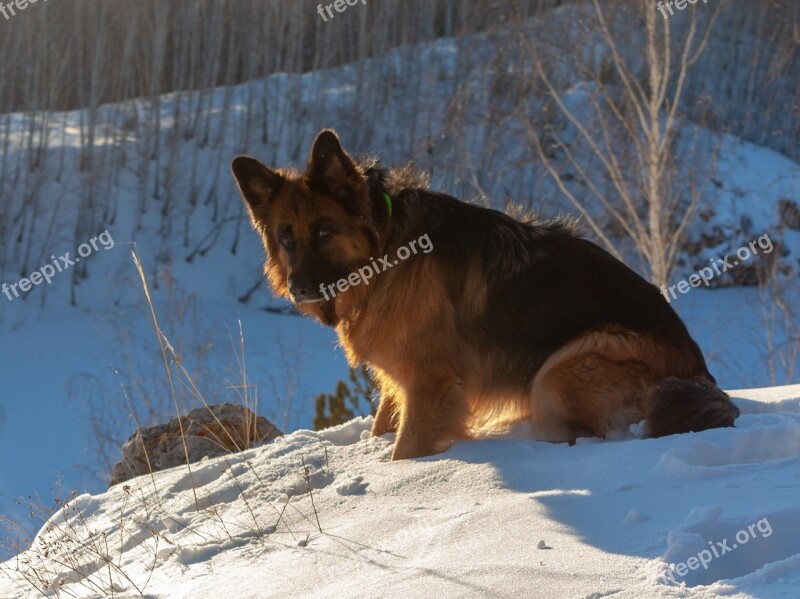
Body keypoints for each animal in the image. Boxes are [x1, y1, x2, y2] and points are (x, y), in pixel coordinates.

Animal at [230, 130, 736, 460]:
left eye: (323, 231)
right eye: (287, 238)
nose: (299, 288)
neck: (387, 251)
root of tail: (700, 373)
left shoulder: (431, 385)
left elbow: (403, 451)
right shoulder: (401, 383)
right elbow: (382, 426)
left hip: (564, 366)